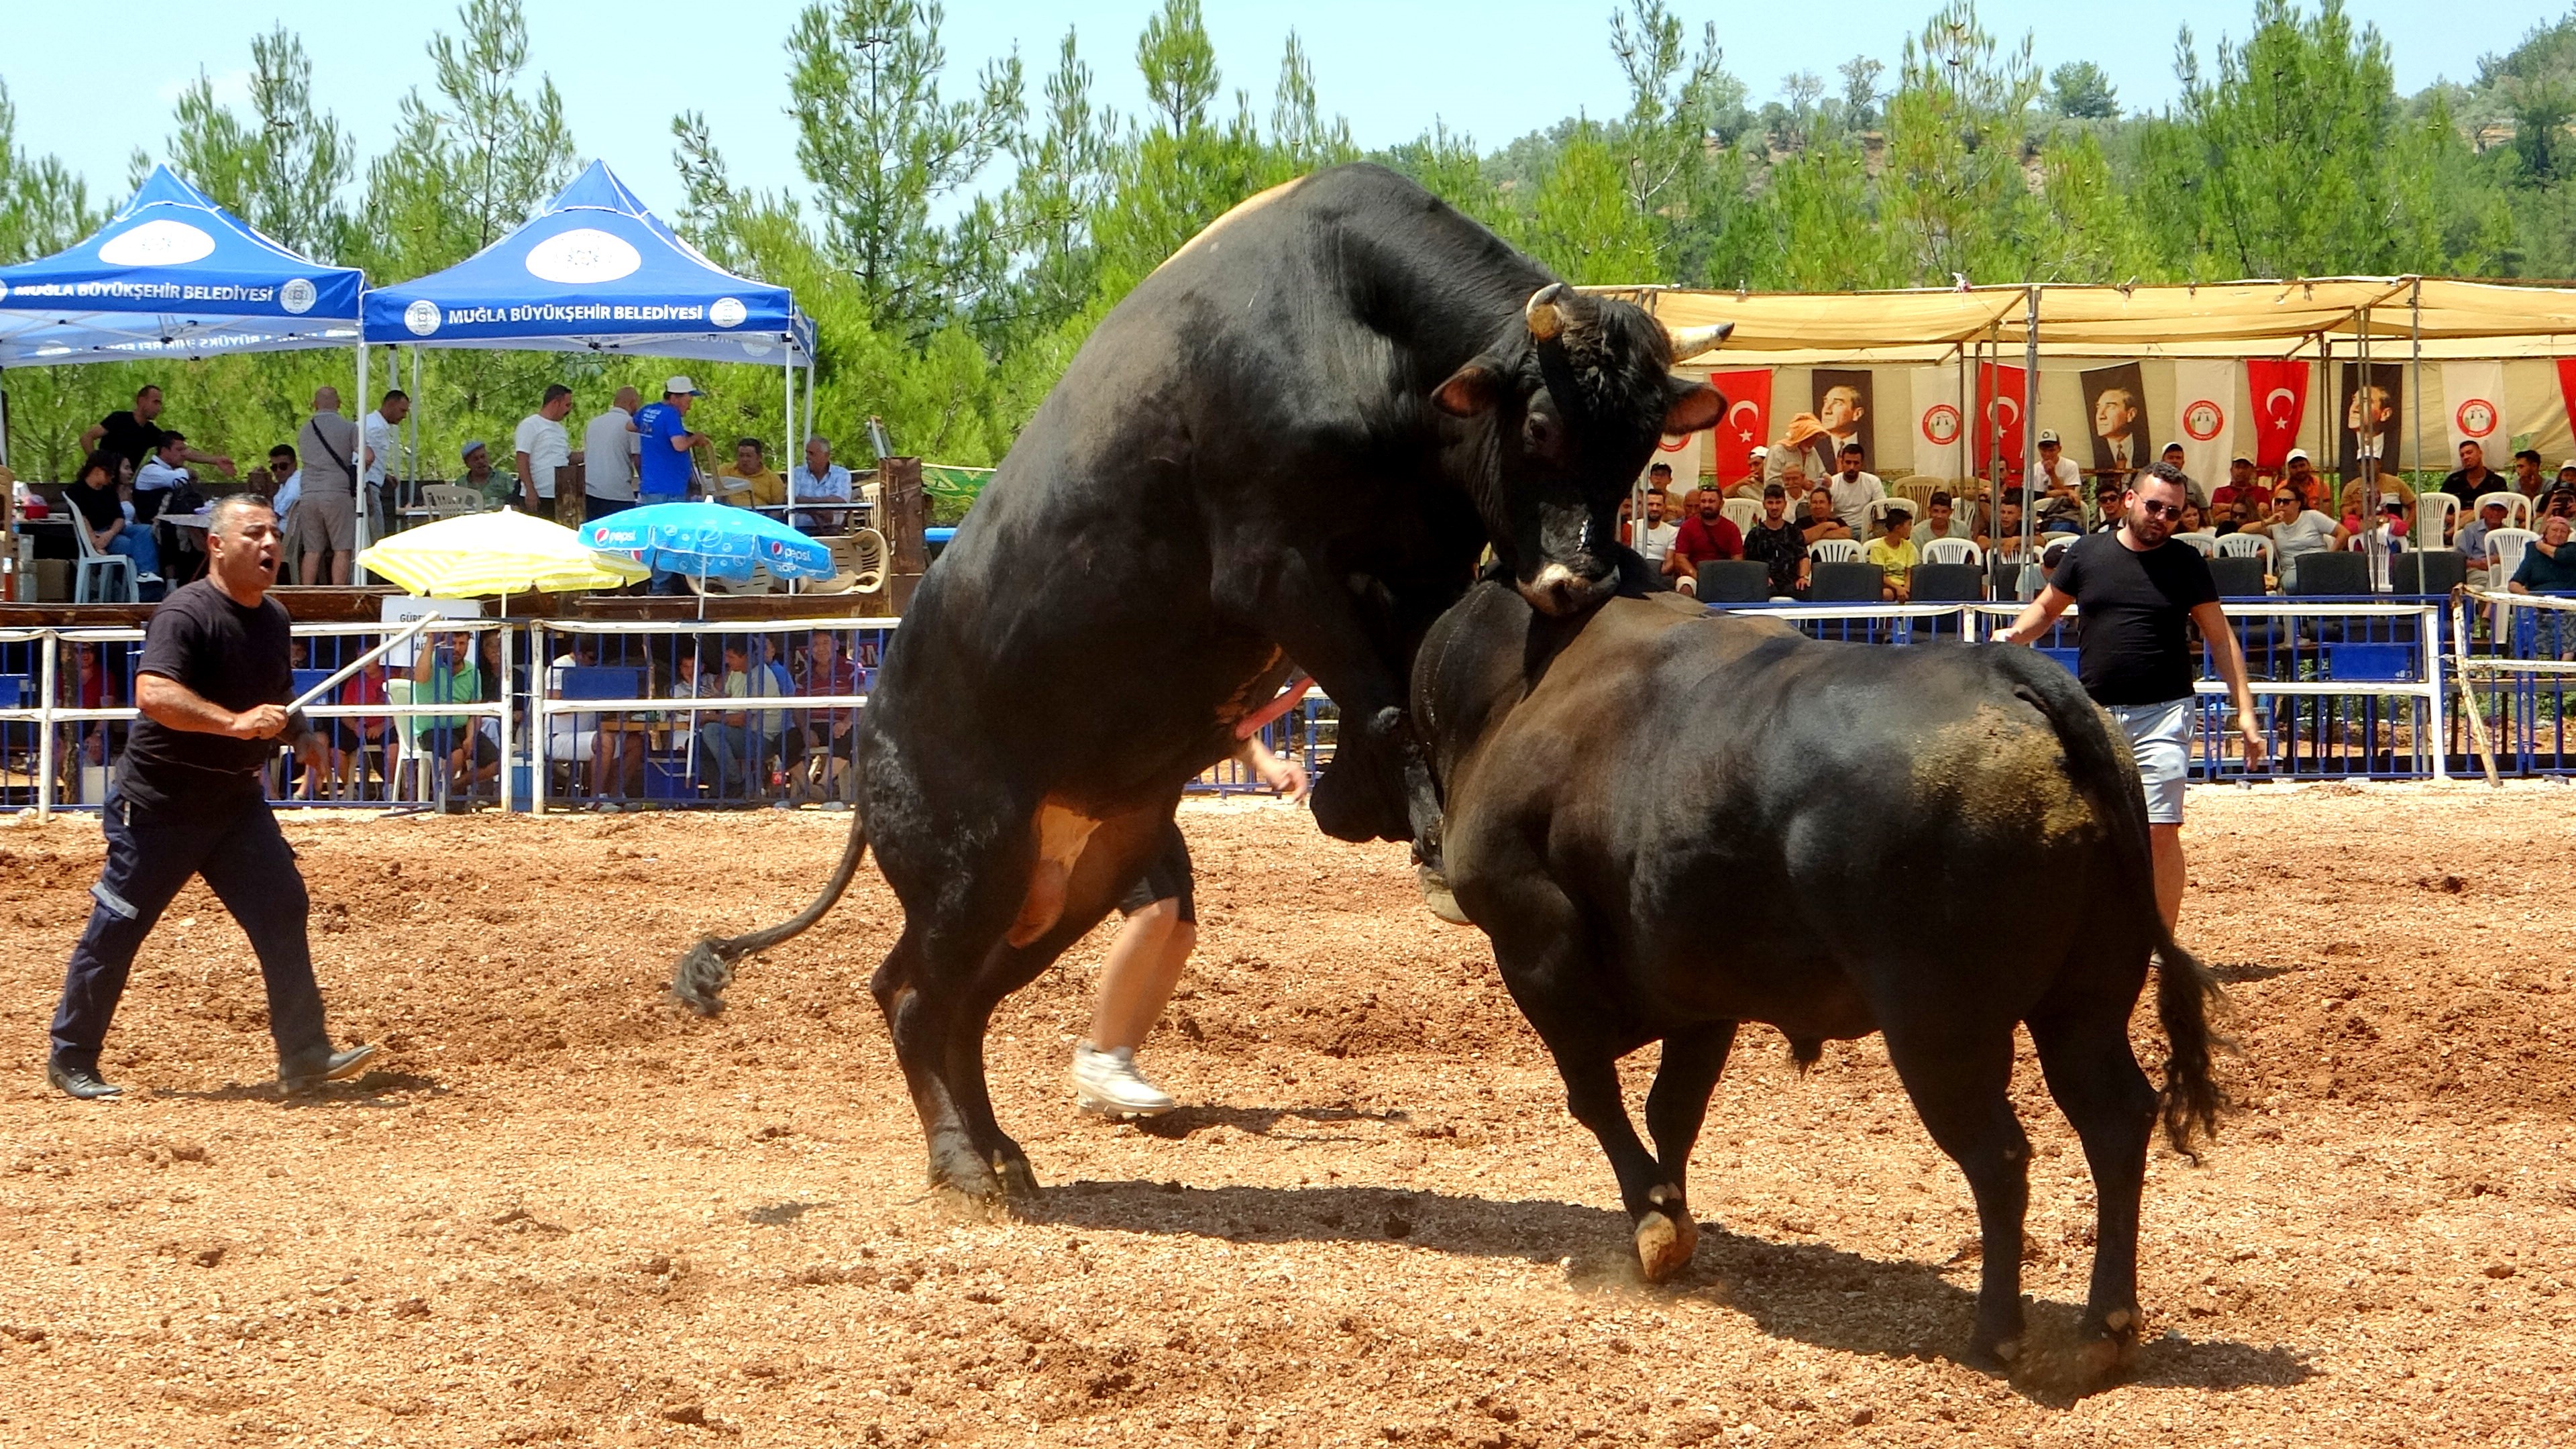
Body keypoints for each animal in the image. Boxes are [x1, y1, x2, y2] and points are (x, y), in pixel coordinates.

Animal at [669, 164, 1731, 1196]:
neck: (1355, 329)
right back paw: (964, 1162)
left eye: (1645, 442)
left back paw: (1003, 1153)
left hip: (1067, 883)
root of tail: (872, 727)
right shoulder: (1274, 569)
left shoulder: (1423, 569)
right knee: (912, 998)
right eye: (1542, 426)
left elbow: (1410, 692)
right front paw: (1429, 839)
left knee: (954, 1006)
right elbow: (1389, 703)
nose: (1580, 579)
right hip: (967, 868)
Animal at [1411, 580, 2236, 1371]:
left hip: (1940, 1027)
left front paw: (1653, 1222)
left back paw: (1996, 1334)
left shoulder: (1536, 948)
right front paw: (1674, 1222)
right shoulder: (1701, 988)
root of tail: (2009, 674)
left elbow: (1598, 1099)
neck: (1512, 686)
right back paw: (2105, 1329)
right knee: (2116, 1123)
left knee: (1999, 1156)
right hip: (2085, 1003)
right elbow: (1673, 1109)